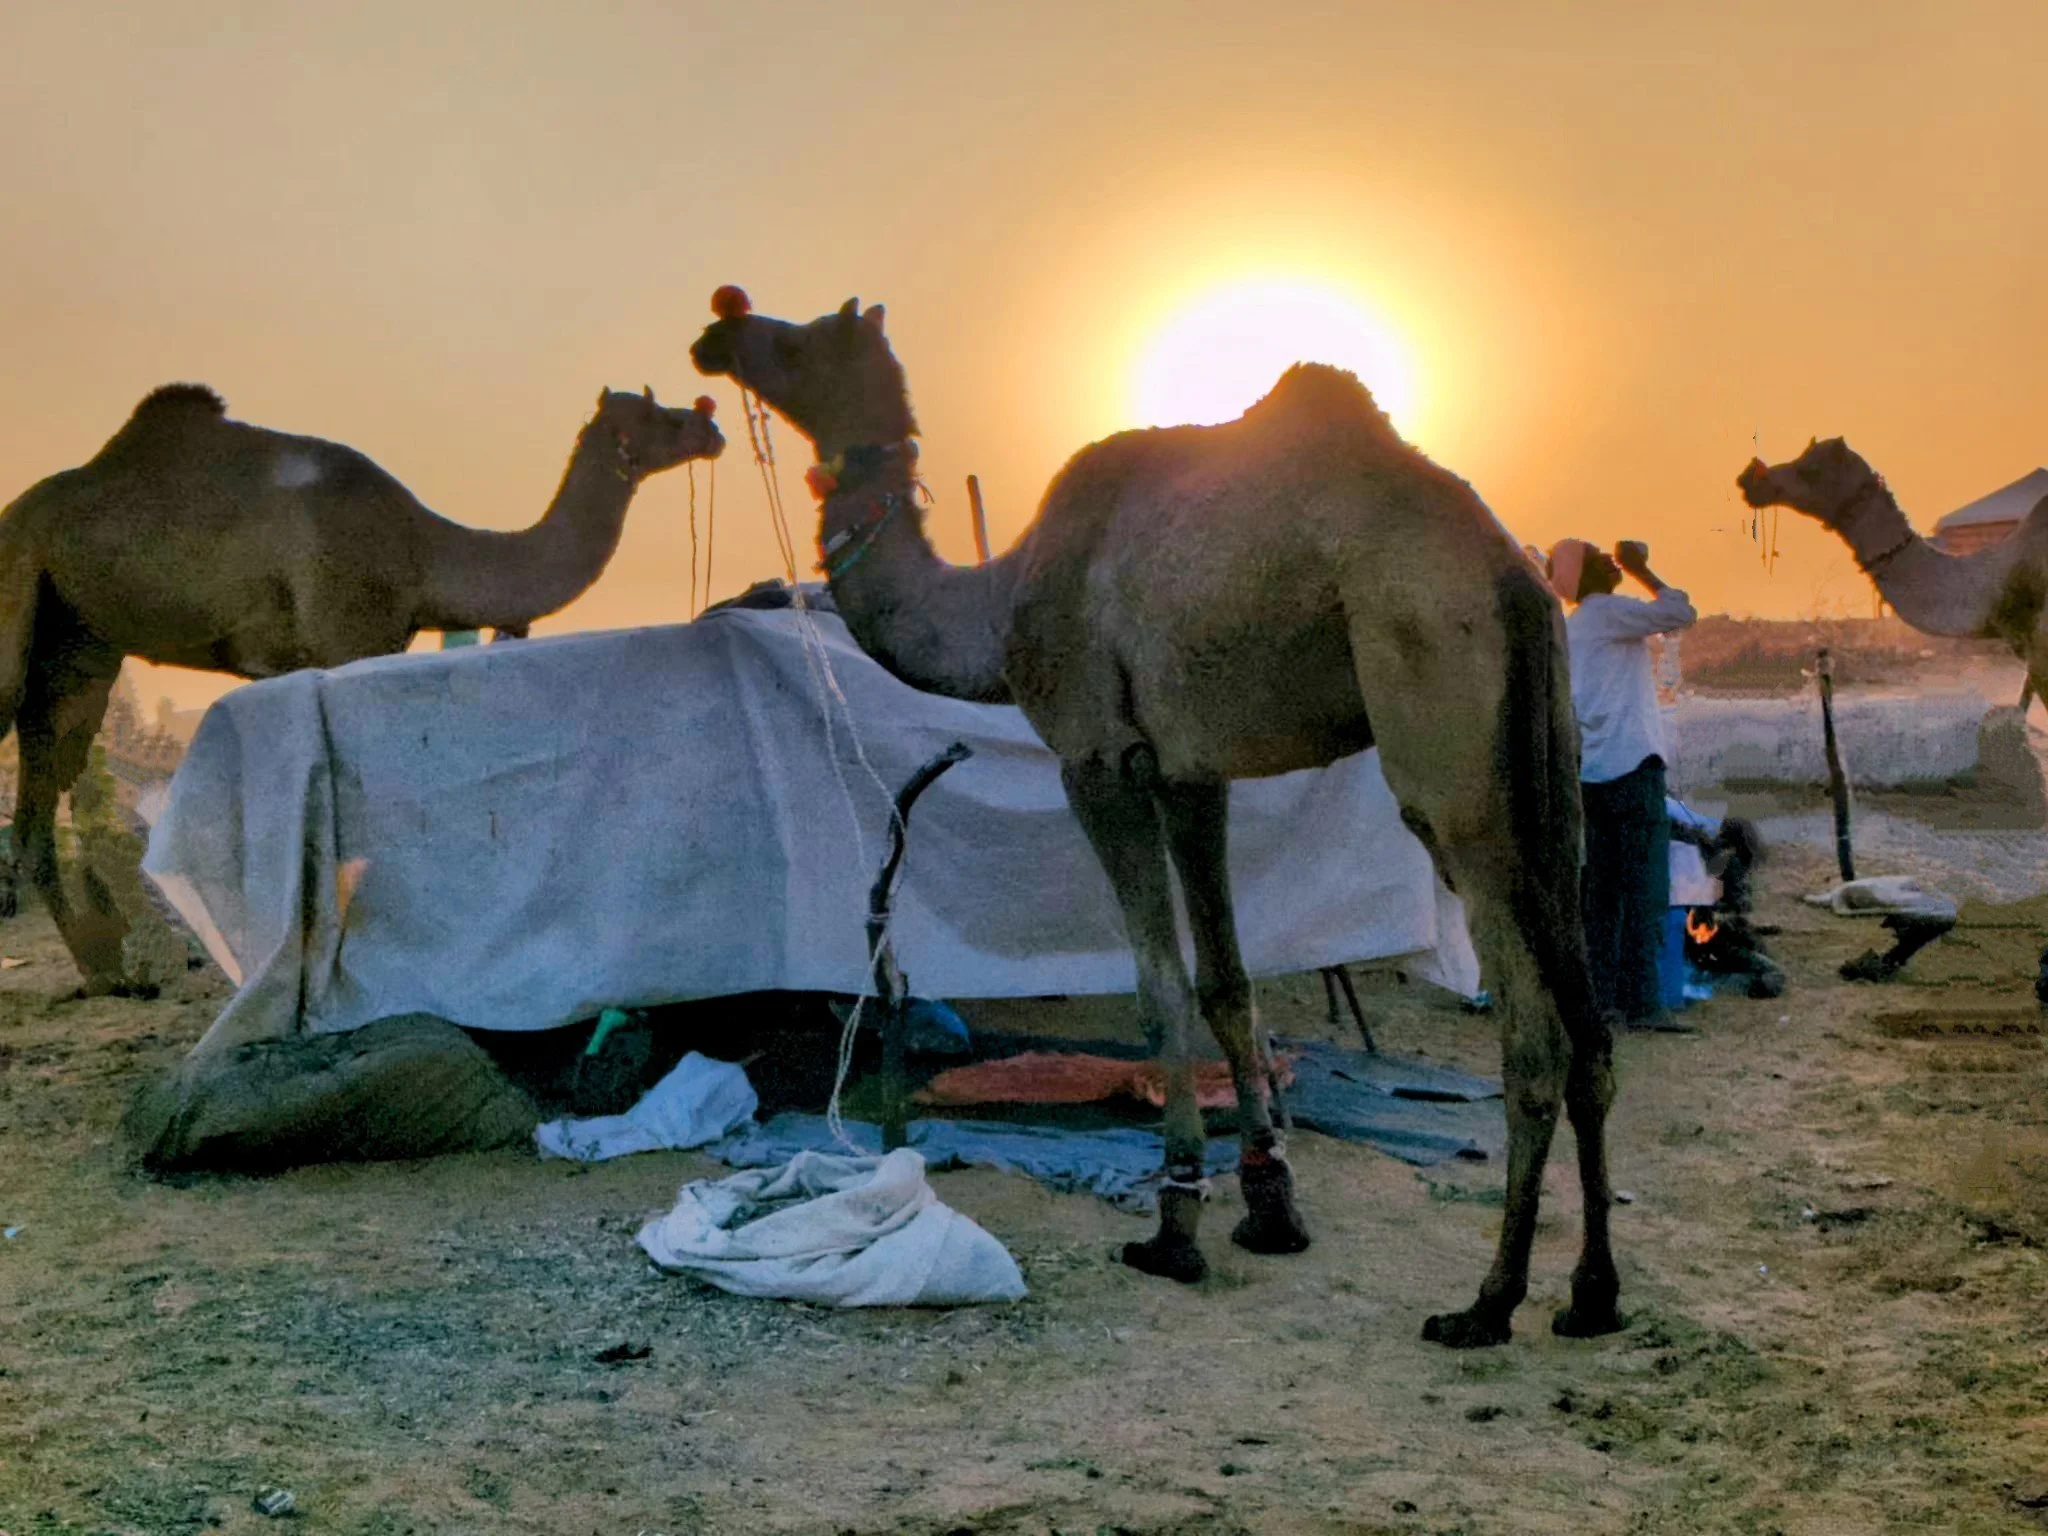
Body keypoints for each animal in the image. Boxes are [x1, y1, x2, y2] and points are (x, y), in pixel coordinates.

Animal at [0, 382, 723, 992]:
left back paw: (111, 971)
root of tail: (22, 511)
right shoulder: (349, 634)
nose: (710, 423)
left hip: (81, 644)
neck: (423, 554)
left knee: (46, 774)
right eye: (659, 413)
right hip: (20, 588)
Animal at [691, 289, 1621, 1347]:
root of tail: (1512, 574)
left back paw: (1488, 1300)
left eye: (801, 339)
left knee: (1534, 1031)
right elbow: (1227, 984)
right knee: (1591, 1028)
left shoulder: (1098, 760)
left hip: (1446, 734)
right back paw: (1592, 1294)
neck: (998, 602)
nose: (719, 320)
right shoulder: (1191, 773)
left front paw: (1175, 1221)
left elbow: (1158, 987)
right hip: (1548, 777)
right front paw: (1270, 1203)